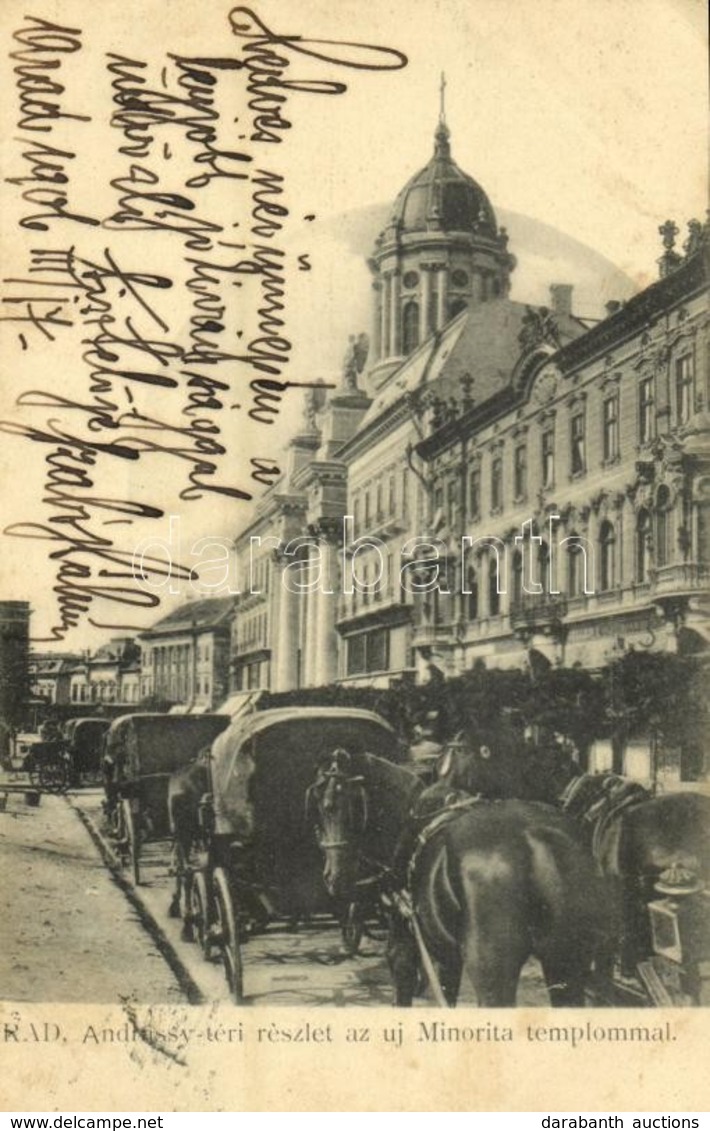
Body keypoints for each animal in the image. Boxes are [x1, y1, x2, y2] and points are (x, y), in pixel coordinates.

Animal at [307, 750, 610, 1008]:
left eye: (335, 805)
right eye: (319, 806)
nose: (333, 877)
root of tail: (538, 840)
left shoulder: (408, 940)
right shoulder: (447, 953)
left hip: (493, 975)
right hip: (566, 964)